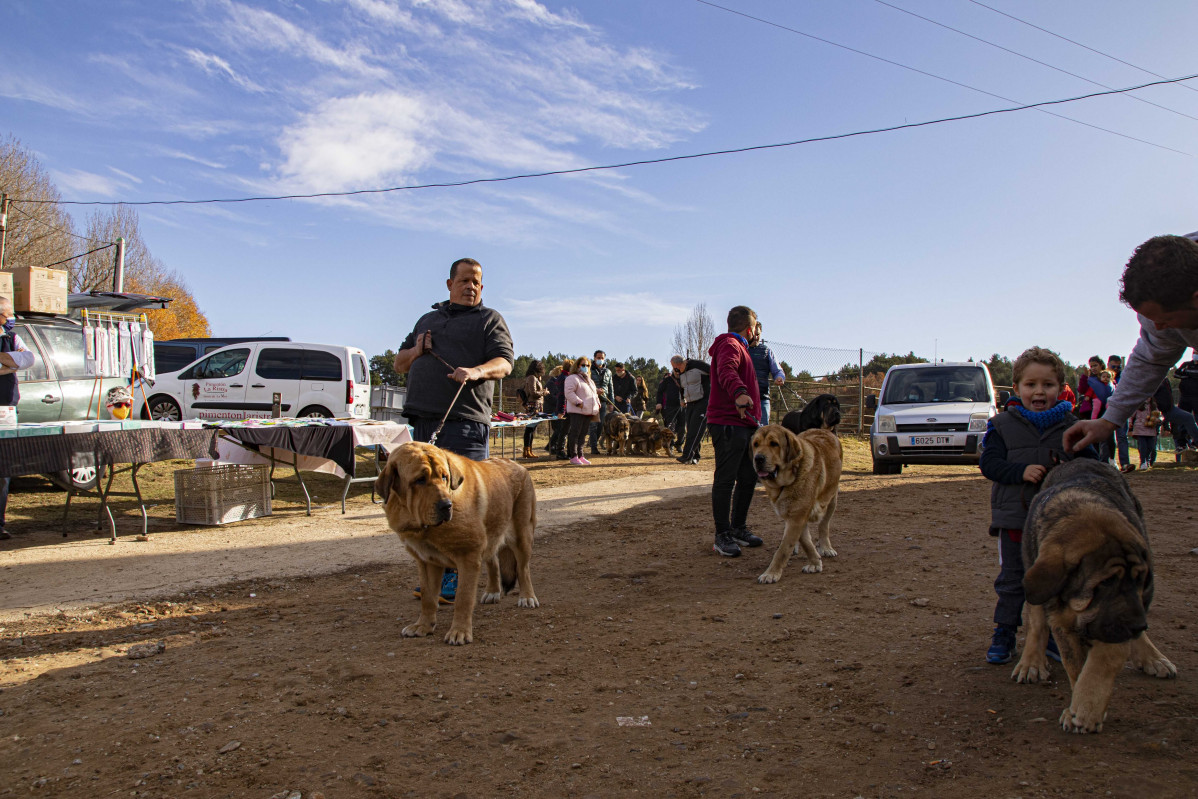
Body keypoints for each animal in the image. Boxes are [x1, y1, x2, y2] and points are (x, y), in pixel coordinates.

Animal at [376, 440, 541, 646]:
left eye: (444, 477)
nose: (446, 506)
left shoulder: (468, 557)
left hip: (522, 536)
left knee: (523, 569)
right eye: (420, 480)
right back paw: (493, 591)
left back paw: (527, 597)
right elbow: (428, 598)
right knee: (493, 562)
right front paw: (423, 626)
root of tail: (517, 465)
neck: (426, 528)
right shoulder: (426, 562)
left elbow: (463, 598)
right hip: (491, 533)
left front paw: (459, 632)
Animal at [747, 428, 843, 584]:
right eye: (756, 444)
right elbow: (804, 542)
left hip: (832, 499)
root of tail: (824, 430)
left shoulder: (798, 516)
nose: (758, 458)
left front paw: (771, 573)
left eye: (774, 444)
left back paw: (826, 547)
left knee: (824, 525)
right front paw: (815, 562)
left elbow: (783, 550)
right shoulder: (795, 515)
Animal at [1011, 459, 1178, 733]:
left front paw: (1086, 710)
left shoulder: (1116, 623)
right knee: (1036, 621)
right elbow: (1075, 665)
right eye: (1105, 583)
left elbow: (1101, 662)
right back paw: (1031, 663)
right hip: (1030, 572)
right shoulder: (1063, 619)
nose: (1138, 625)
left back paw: (1153, 658)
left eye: (1139, 579)